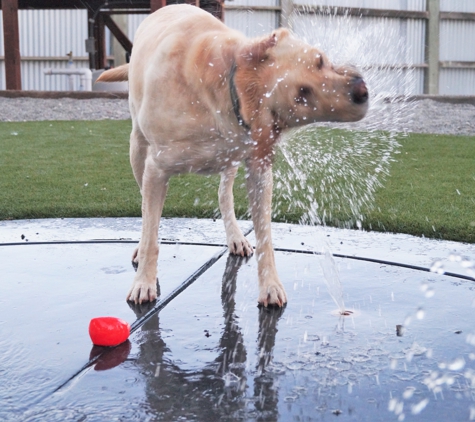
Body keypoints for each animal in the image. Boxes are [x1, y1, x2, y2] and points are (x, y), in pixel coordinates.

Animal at [98, 3, 370, 306]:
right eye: (302, 95)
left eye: (321, 60)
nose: (362, 90)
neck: (228, 85)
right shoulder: (156, 170)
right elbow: (150, 233)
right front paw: (144, 281)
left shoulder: (259, 169)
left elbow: (265, 236)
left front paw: (270, 284)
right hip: (137, 148)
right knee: (145, 210)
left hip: (229, 161)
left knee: (223, 194)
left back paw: (235, 236)